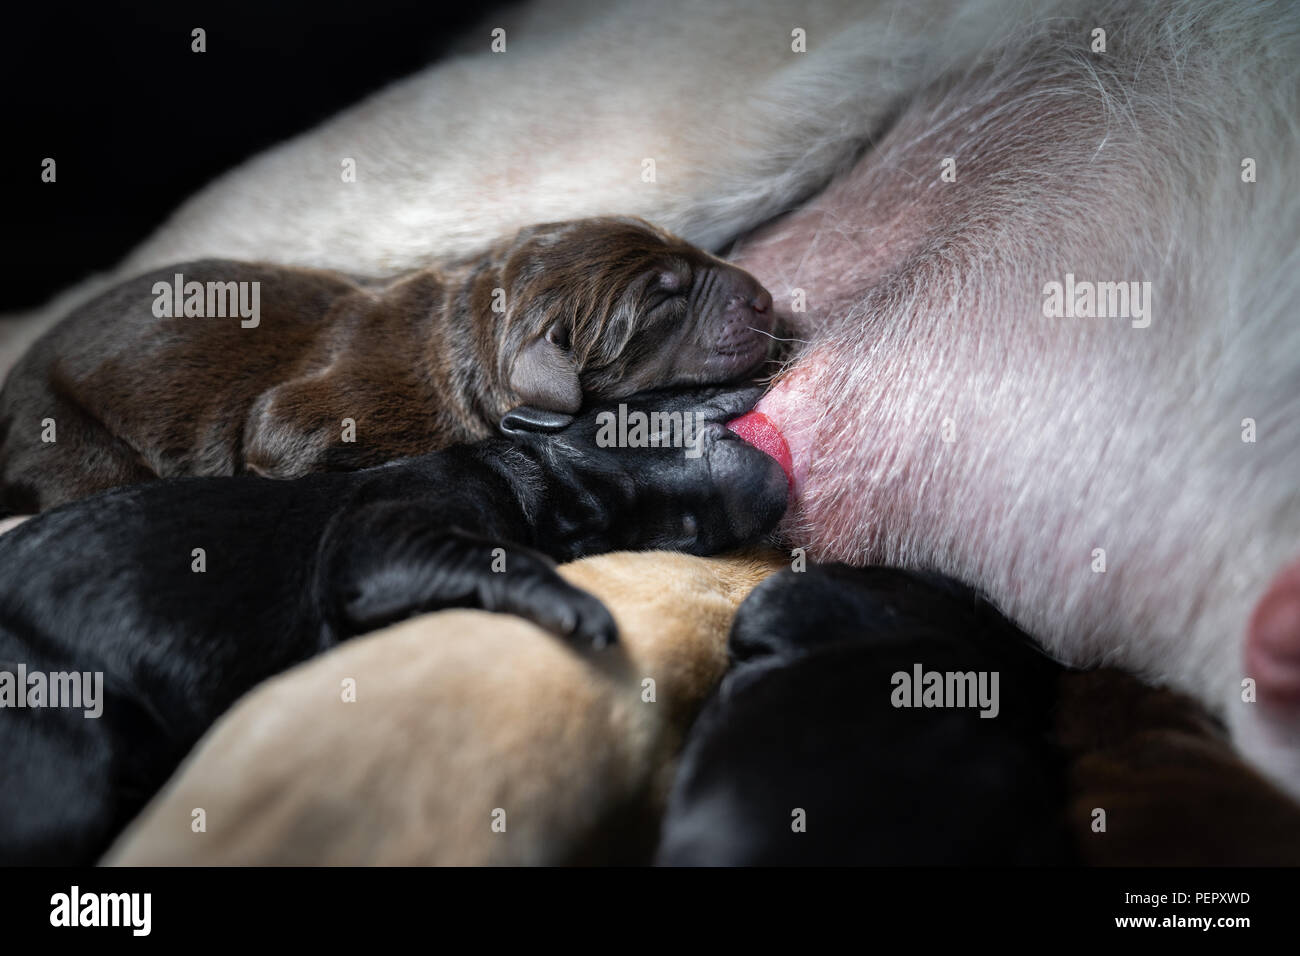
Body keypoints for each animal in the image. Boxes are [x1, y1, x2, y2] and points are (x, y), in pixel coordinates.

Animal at [0, 217, 769, 512]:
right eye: (664, 297)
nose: (764, 297)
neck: (463, 340)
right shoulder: (315, 412)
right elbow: (275, 434)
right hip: (65, 436)